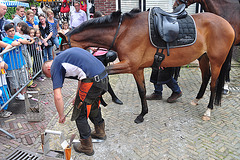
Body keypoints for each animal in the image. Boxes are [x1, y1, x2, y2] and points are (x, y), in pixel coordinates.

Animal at [59, 9, 234, 123]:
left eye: (63, 49)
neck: (123, 31)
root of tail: (227, 24)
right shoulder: (137, 69)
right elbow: (142, 91)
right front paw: (142, 114)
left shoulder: (129, 65)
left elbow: (103, 73)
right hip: (203, 58)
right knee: (206, 77)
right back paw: (196, 100)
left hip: (216, 61)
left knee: (213, 84)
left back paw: (208, 111)